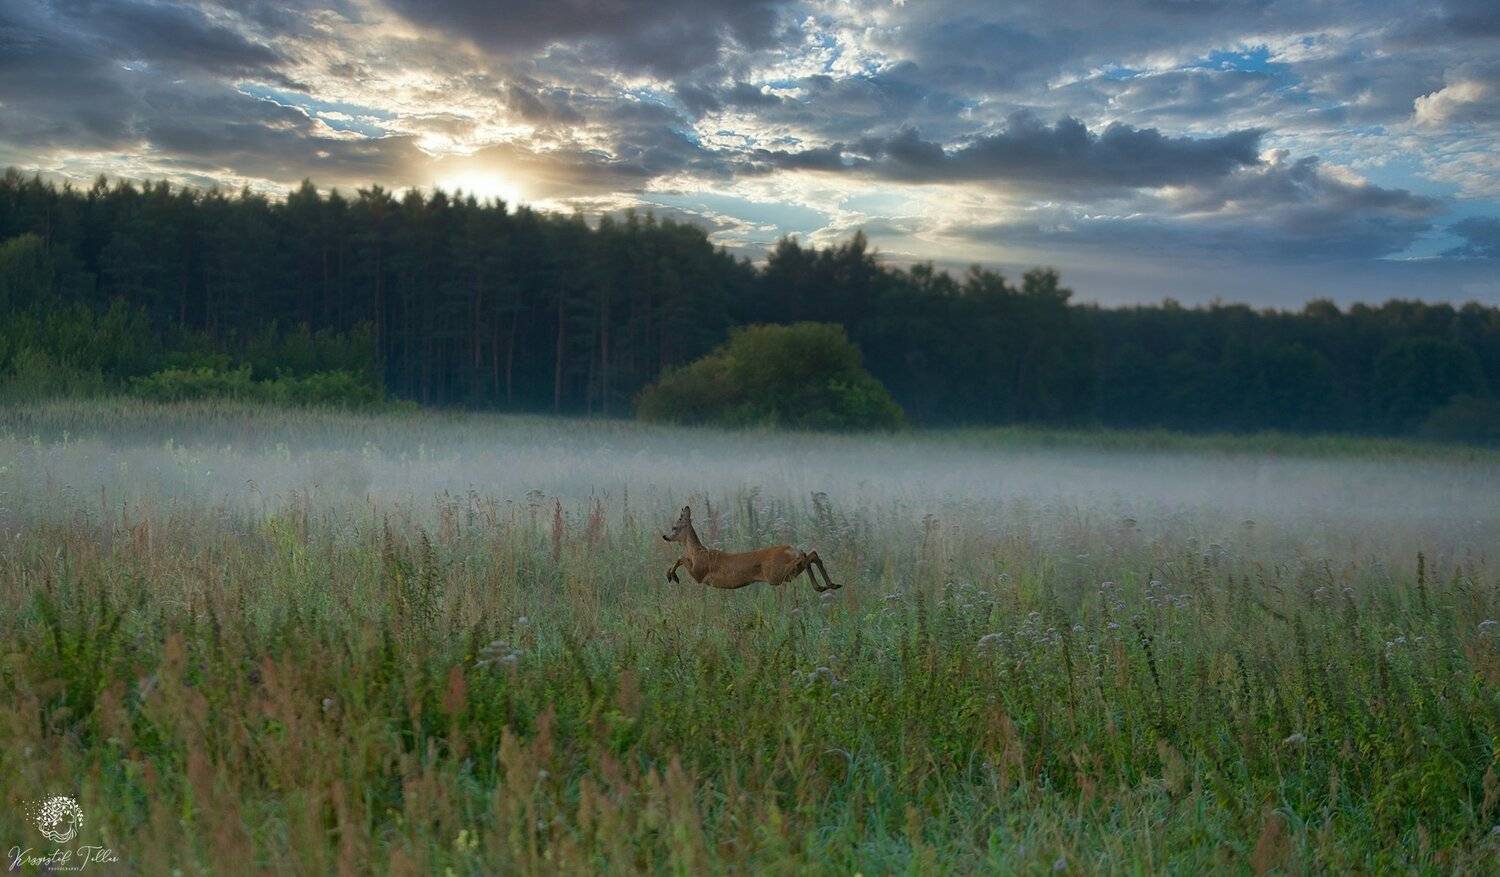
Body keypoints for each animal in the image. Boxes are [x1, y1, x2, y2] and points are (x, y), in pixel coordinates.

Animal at [662, 505, 839, 592]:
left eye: (674, 527)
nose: (665, 537)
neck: (697, 551)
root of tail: (790, 549)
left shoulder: (699, 573)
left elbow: (681, 558)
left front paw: (672, 576)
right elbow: (681, 558)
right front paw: (671, 575)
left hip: (775, 574)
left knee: (806, 556)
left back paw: (823, 585)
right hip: (783, 573)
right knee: (811, 554)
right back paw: (828, 585)